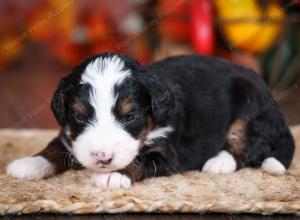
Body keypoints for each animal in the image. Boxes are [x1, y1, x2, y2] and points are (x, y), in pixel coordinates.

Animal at [5, 52, 294, 188]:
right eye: (79, 116)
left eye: (130, 116)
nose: (102, 158)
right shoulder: (70, 135)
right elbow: (55, 147)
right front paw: (29, 163)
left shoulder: (167, 153)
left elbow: (140, 160)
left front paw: (113, 175)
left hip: (249, 106)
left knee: (251, 147)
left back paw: (219, 162)